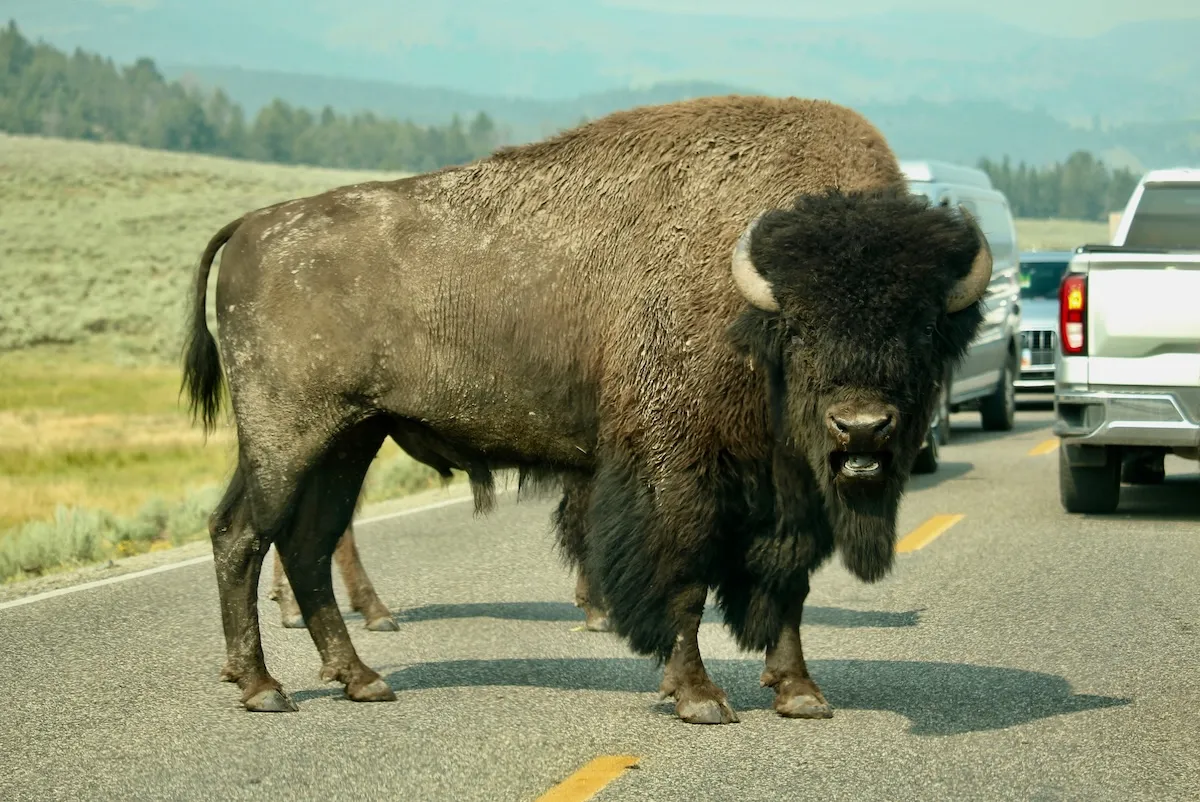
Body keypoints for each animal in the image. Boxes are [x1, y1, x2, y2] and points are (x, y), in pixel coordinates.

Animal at [183, 94, 990, 724]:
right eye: (800, 326)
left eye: (922, 328)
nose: (862, 427)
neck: (746, 305)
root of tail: (253, 226)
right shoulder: (675, 470)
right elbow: (682, 578)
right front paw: (698, 698)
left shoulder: (787, 496)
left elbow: (786, 587)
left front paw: (799, 693)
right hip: (288, 437)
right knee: (242, 535)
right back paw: (264, 688)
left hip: (348, 440)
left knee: (307, 544)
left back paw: (361, 680)